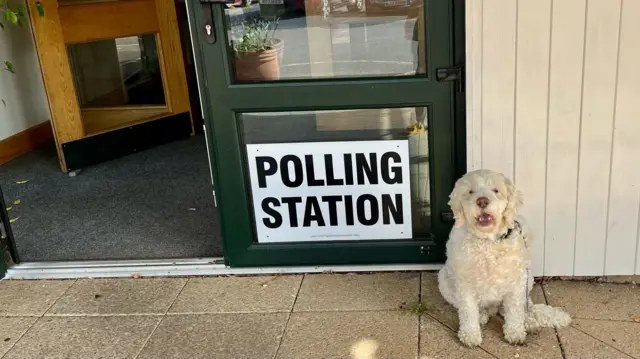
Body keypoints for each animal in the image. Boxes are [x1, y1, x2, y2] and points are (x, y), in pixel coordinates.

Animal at [440, 170, 568, 348]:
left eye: (495, 190)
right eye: (470, 192)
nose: (482, 201)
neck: (488, 242)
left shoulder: (517, 281)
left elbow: (514, 310)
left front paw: (515, 332)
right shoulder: (465, 283)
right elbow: (467, 309)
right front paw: (470, 334)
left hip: (528, 279)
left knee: (522, 307)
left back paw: (528, 321)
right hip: (444, 278)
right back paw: (482, 315)